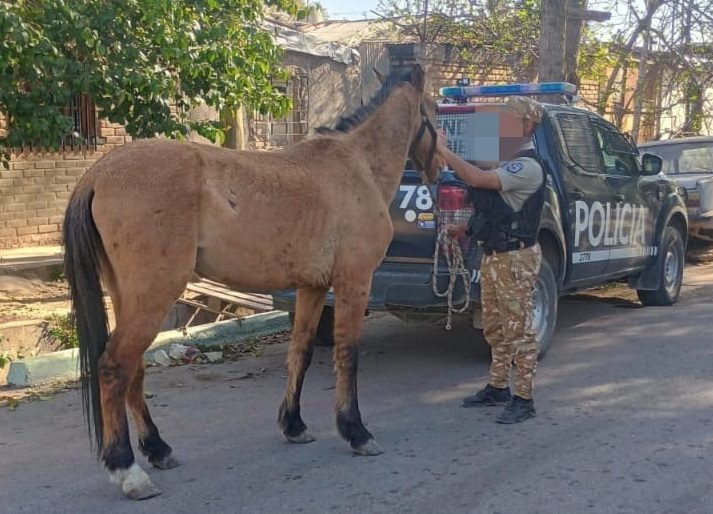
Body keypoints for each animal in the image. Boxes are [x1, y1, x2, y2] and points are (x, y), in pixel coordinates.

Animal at [62, 63, 440, 500]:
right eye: (434, 112)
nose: (438, 169)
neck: (357, 166)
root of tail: (99, 173)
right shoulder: (353, 282)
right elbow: (348, 356)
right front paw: (356, 432)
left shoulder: (312, 287)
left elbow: (301, 353)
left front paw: (294, 425)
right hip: (153, 295)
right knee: (114, 368)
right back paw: (128, 470)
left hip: (130, 297)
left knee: (133, 369)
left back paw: (157, 449)